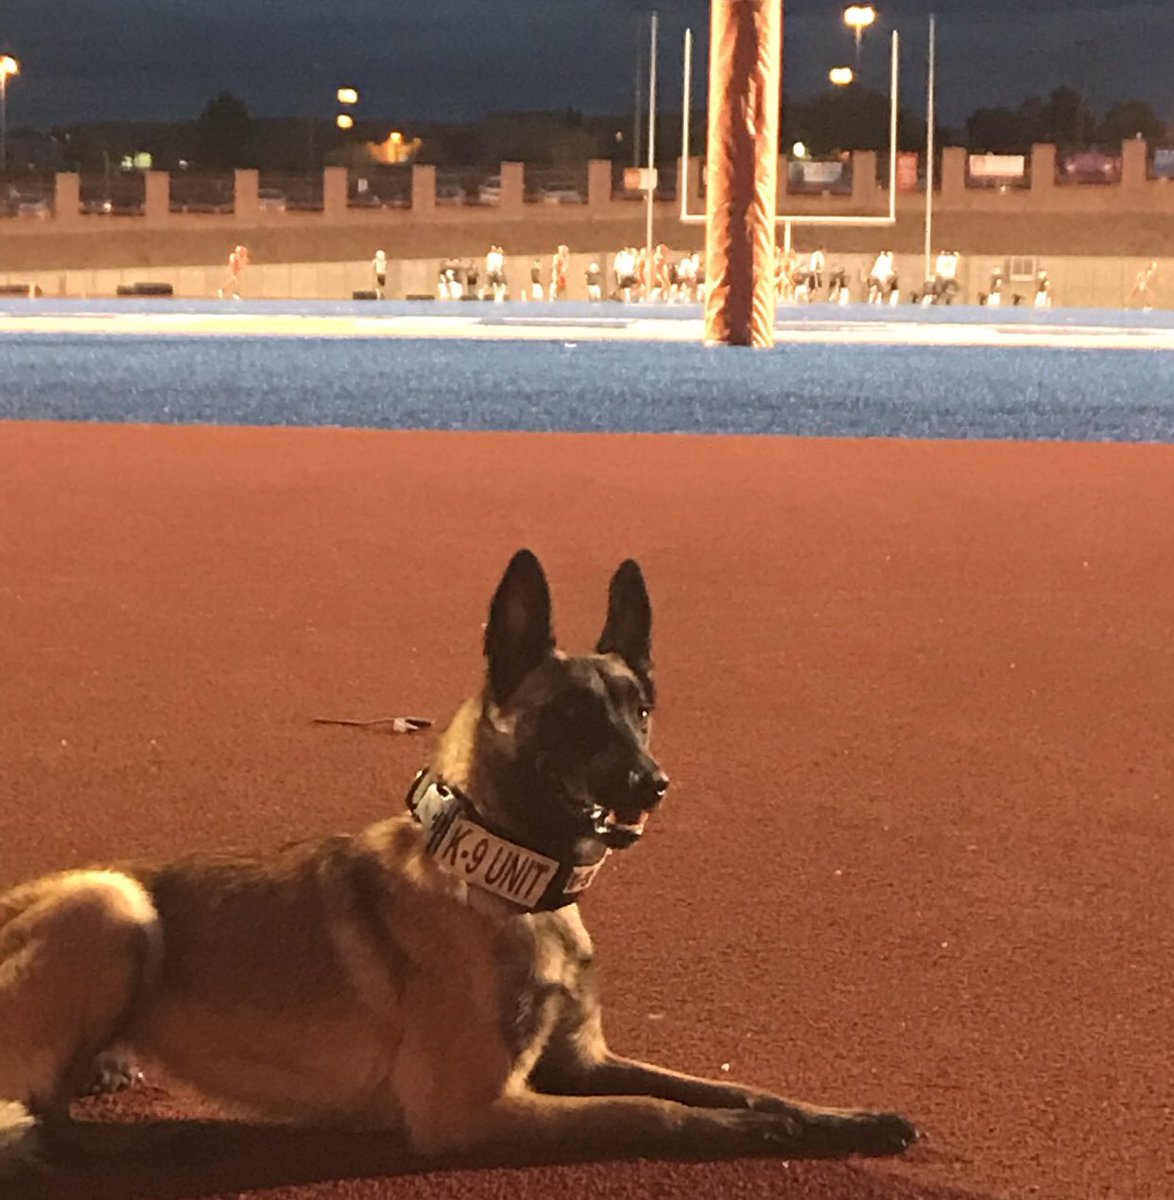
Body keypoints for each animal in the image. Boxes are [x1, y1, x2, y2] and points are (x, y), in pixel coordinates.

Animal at [0, 552, 917, 1171]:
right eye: (574, 714)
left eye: (642, 709)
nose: (653, 785)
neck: (502, 884)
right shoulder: (477, 1108)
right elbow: (652, 1112)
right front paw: (755, 1133)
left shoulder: (580, 1061)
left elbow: (724, 1086)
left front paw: (842, 1119)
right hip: (114, 905)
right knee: (46, 1123)